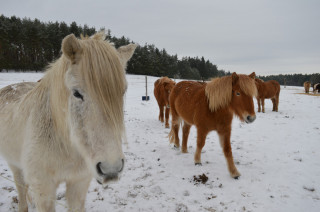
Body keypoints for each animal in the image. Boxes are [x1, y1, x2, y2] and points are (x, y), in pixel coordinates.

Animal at [0, 31, 136, 212]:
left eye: (122, 91)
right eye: (76, 93)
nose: (111, 170)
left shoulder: (78, 183)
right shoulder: (44, 189)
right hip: (14, 164)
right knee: (21, 187)